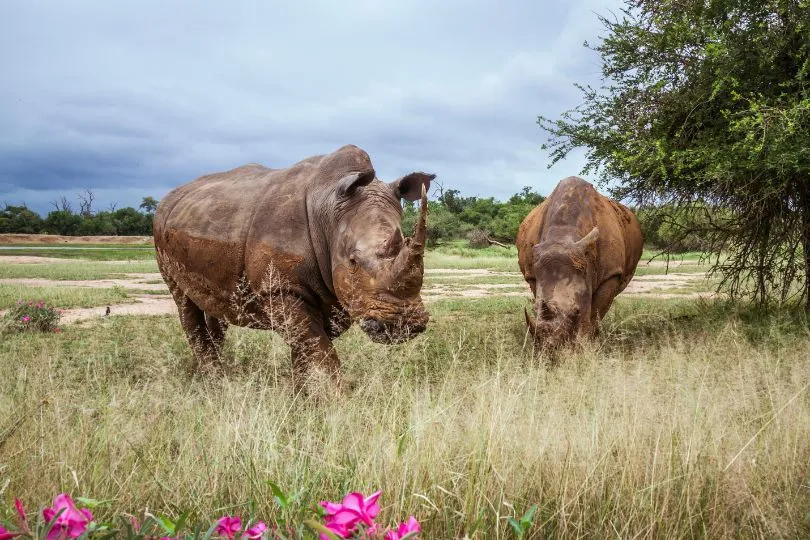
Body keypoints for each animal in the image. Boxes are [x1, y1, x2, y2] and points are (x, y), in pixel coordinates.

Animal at [149, 146, 432, 386]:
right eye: (353, 261)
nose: (404, 325)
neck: (328, 211)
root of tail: (168, 197)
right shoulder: (280, 288)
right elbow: (318, 349)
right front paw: (333, 402)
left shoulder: (332, 296)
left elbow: (307, 348)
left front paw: (303, 398)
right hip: (159, 228)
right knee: (183, 300)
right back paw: (215, 383)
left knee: (212, 303)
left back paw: (204, 374)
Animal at [516, 175, 640, 348]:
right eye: (533, 307)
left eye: (577, 311)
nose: (551, 350)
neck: (562, 235)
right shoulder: (533, 275)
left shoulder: (611, 274)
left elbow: (595, 312)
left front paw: (586, 344)